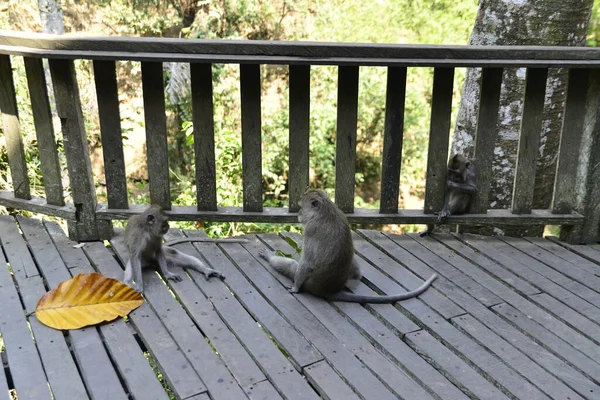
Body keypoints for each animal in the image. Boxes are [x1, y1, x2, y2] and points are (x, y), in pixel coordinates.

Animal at [258, 188, 436, 304]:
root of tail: (329, 289)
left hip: (308, 282)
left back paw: (269, 257)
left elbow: (307, 262)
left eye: (301, 207)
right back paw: (357, 275)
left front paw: (295, 288)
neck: (325, 209)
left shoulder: (310, 229)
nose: (299, 214)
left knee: (292, 266)